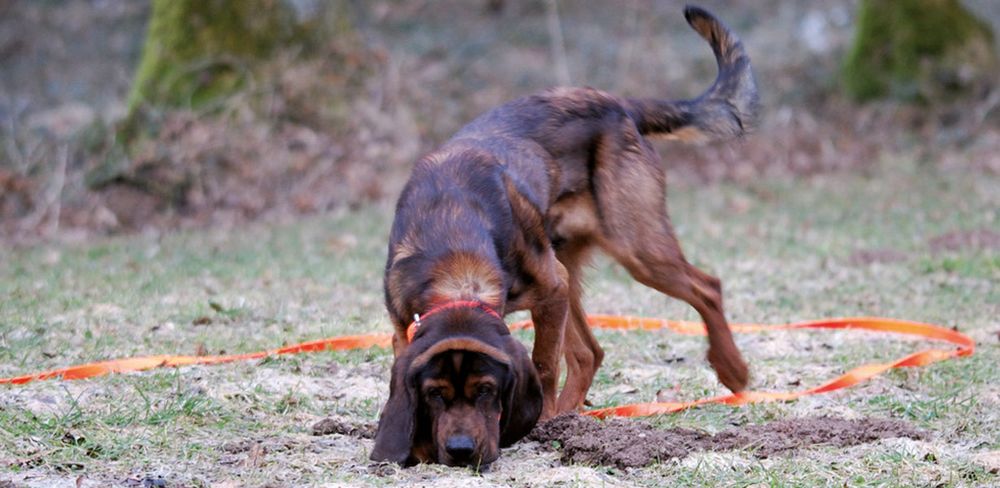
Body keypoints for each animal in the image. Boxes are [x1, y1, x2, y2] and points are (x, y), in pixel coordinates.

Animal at [374, 5, 756, 468]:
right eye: (434, 395)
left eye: (487, 391)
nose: (463, 452)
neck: (452, 247)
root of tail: (617, 102)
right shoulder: (402, 329)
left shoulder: (550, 289)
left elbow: (543, 366)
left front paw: (536, 424)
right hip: (569, 267)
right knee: (590, 352)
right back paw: (570, 419)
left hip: (635, 250)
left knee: (707, 287)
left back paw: (731, 369)